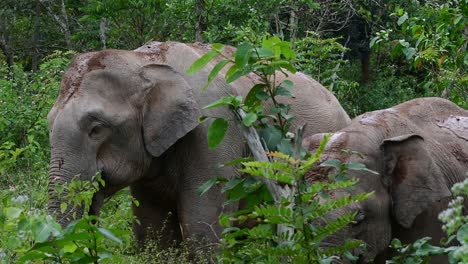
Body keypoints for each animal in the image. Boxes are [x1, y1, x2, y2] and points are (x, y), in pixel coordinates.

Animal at [46, 41, 352, 248]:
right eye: (49, 124)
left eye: (96, 129)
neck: (144, 61)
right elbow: (152, 228)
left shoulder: (215, 132)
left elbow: (202, 224)